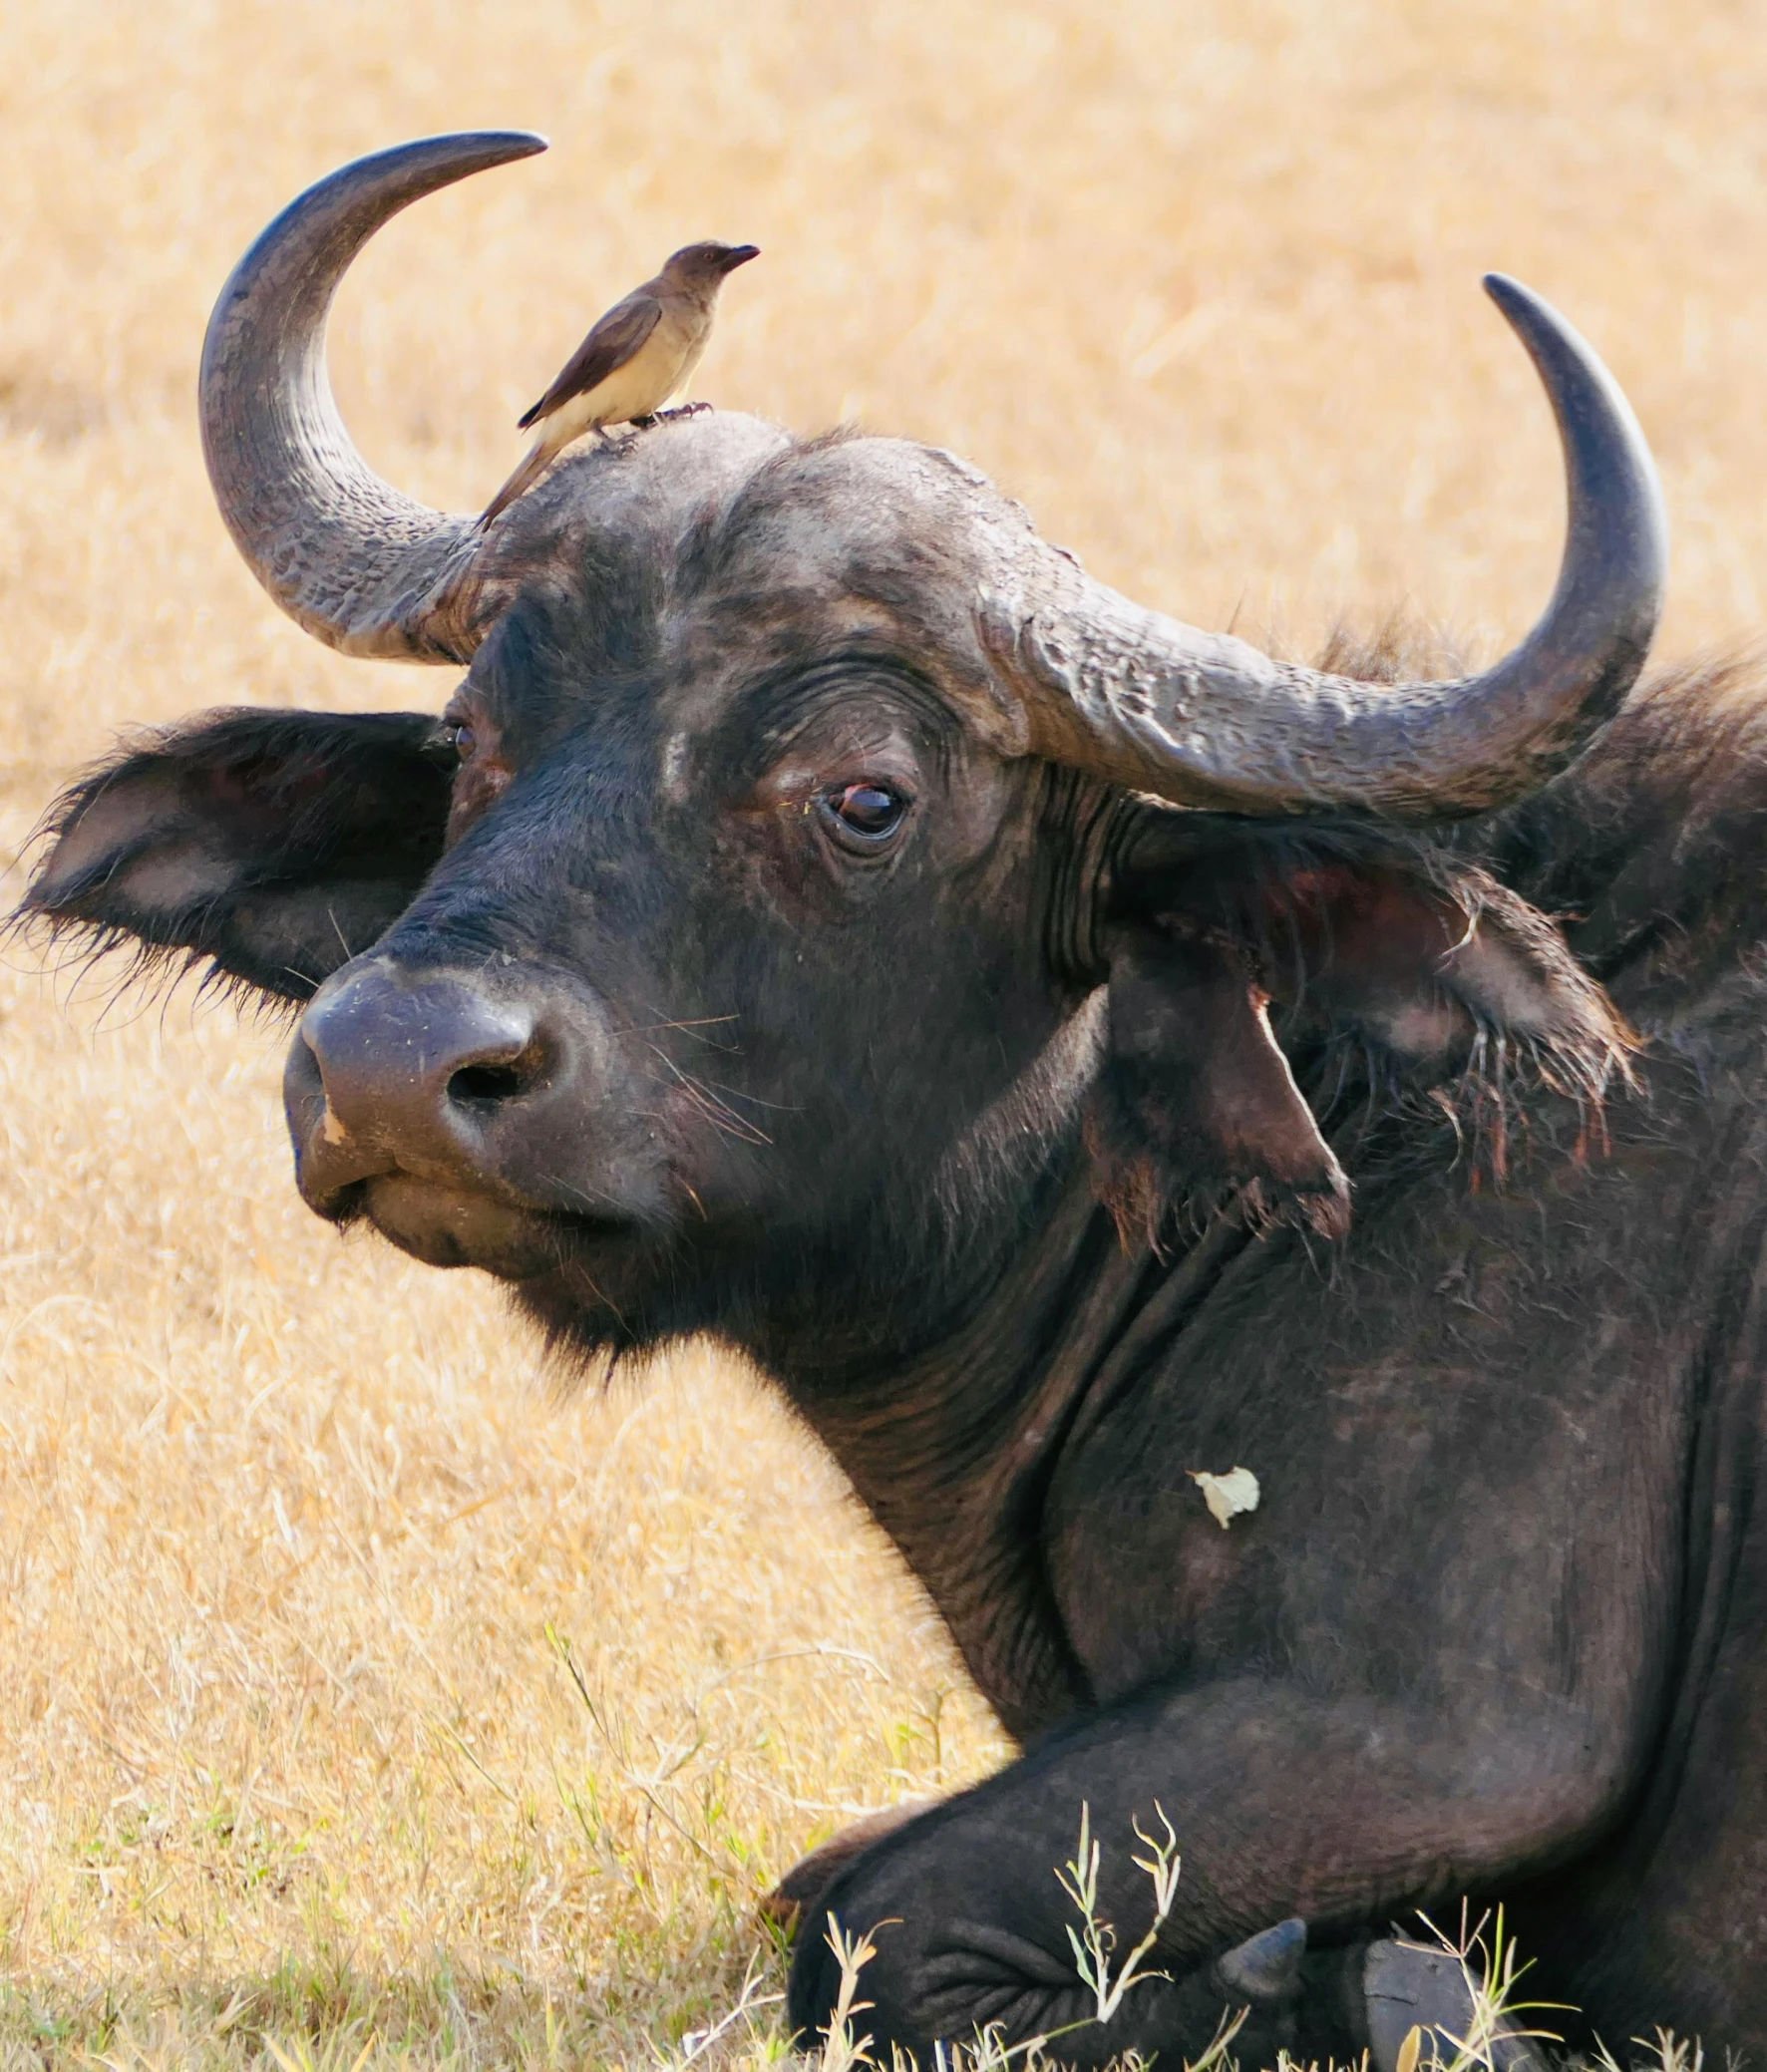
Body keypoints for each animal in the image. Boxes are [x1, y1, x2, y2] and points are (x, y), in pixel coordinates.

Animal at [27, 138, 1764, 2063]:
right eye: (478, 743)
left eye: (865, 796)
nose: (394, 1064)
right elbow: (822, 1877)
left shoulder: (1431, 1716)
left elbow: (876, 1919)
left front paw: (1382, 1989)